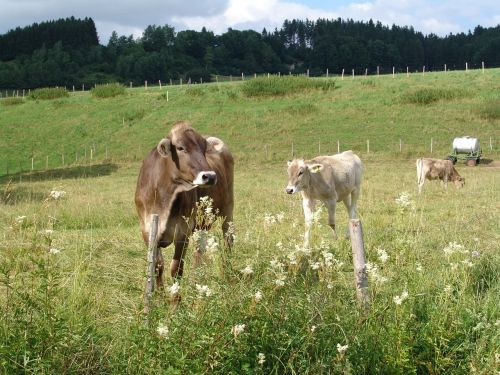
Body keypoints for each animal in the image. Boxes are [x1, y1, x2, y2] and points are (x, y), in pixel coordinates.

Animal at [134, 122, 233, 286]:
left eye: (204, 148)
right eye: (180, 148)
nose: (210, 176)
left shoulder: (182, 231)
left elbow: (176, 267)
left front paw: (176, 292)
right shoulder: (147, 231)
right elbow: (158, 266)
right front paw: (160, 293)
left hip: (228, 207)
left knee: (228, 238)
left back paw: (227, 270)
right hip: (201, 223)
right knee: (200, 249)